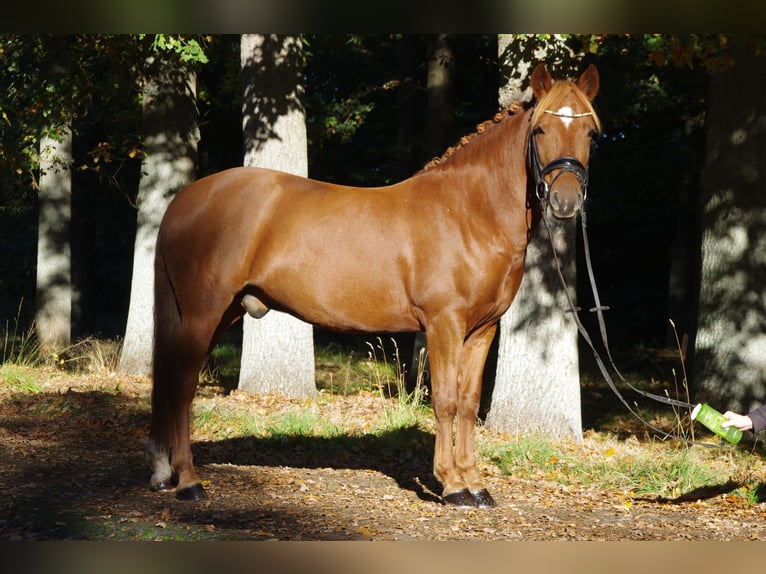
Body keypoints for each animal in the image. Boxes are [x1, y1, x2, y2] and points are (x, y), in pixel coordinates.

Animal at [147, 62, 601, 508]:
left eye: (591, 133)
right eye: (540, 130)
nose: (565, 201)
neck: (467, 212)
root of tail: (184, 199)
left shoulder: (482, 329)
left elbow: (470, 403)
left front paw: (476, 485)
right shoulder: (444, 324)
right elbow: (445, 400)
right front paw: (452, 486)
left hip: (224, 311)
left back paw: (165, 473)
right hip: (203, 313)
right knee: (182, 385)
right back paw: (188, 481)